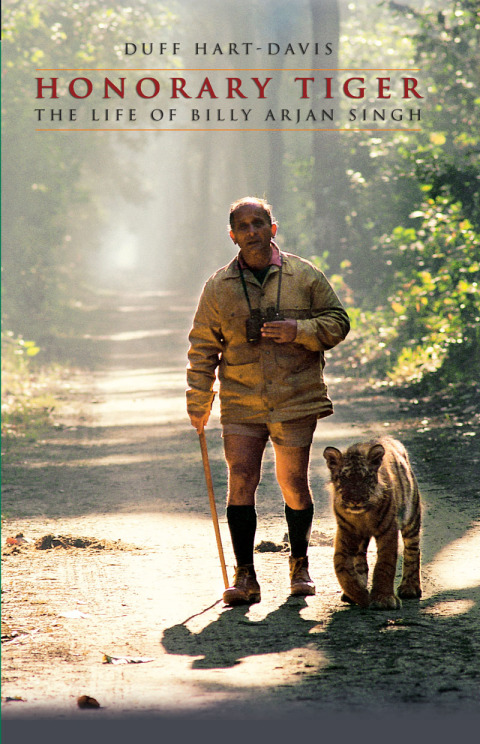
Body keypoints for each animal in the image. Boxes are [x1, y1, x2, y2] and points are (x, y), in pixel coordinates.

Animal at [323, 436, 422, 610]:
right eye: (344, 478)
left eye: (365, 478)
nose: (356, 500)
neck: (362, 516)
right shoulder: (346, 532)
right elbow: (341, 567)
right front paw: (359, 595)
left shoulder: (388, 530)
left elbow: (385, 564)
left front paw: (383, 599)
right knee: (360, 559)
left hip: (411, 518)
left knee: (413, 550)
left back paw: (410, 587)